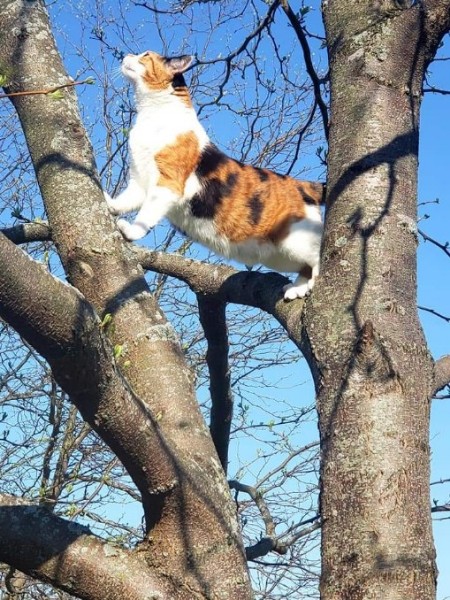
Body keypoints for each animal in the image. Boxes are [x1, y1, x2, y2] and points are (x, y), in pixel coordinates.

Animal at [105, 50, 324, 298]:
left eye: (145, 55)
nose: (126, 55)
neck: (151, 116)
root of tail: (304, 184)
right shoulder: (140, 181)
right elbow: (127, 200)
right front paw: (109, 203)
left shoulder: (167, 184)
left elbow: (146, 215)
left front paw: (131, 231)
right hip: (279, 255)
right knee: (304, 266)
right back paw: (298, 288)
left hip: (296, 240)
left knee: (318, 257)